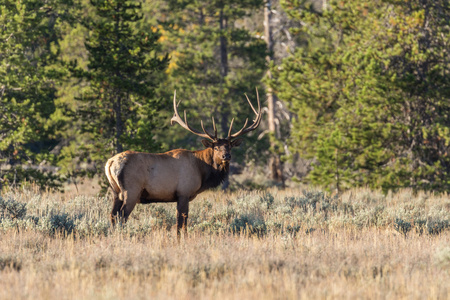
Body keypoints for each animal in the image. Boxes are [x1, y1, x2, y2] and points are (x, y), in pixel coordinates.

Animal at [104, 88, 262, 234]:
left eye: (229, 146)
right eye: (216, 147)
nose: (226, 156)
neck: (202, 170)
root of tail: (110, 163)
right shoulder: (184, 192)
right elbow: (181, 224)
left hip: (115, 191)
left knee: (112, 215)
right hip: (131, 190)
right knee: (121, 216)